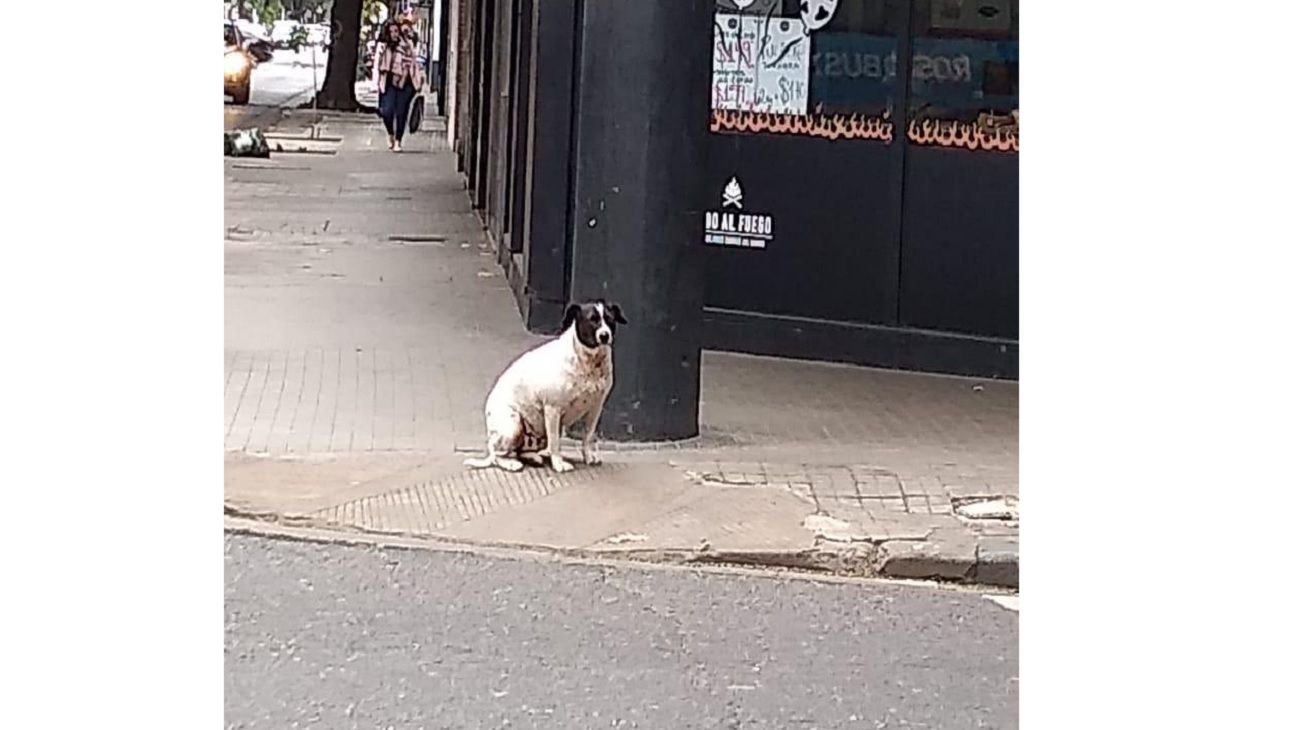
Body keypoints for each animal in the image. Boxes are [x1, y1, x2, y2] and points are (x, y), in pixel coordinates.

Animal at [465, 297, 626, 472]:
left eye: (610, 319)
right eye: (592, 320)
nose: (605, 335)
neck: (588, 362)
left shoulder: (595, 408)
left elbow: (588, 436)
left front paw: (588, 456)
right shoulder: (553, 409)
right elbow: (555, 442)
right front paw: (559, 463)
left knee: (520, 451)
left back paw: (534, 457)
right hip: (513, 426)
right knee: (497, 455)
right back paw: (511, 463)